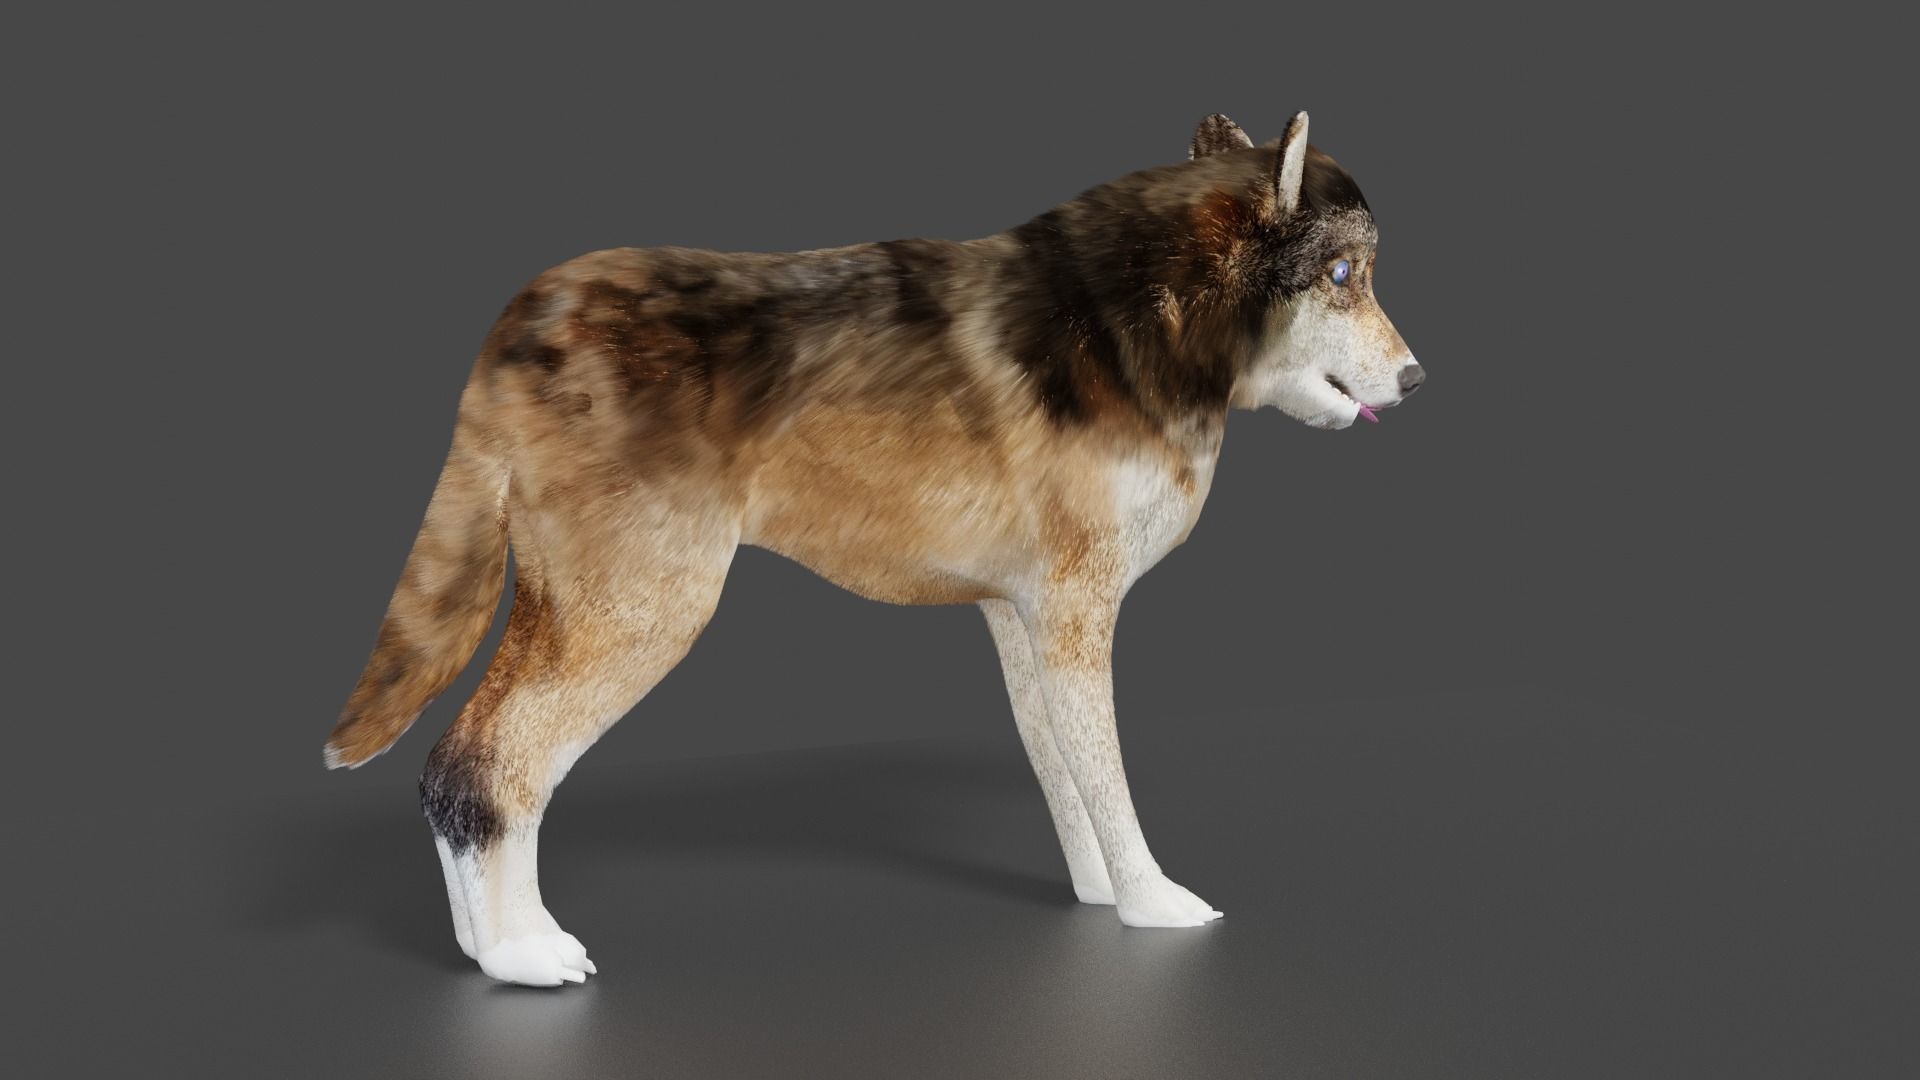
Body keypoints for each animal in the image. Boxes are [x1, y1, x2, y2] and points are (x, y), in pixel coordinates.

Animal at [326, 111, 1424, 986]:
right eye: (1344, 275)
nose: (1417, 379)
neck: (1132, 329)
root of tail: (524, 312)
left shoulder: (1021, 621)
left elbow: (1066, 783)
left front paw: (1099, 898)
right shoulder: (1077, 617)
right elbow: (1109, 786)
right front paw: (1156, 905)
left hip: (579, 615)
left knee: (459, 770)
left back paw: (491, 948)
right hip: (642, 622)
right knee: (486, 768)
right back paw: (523, 959)